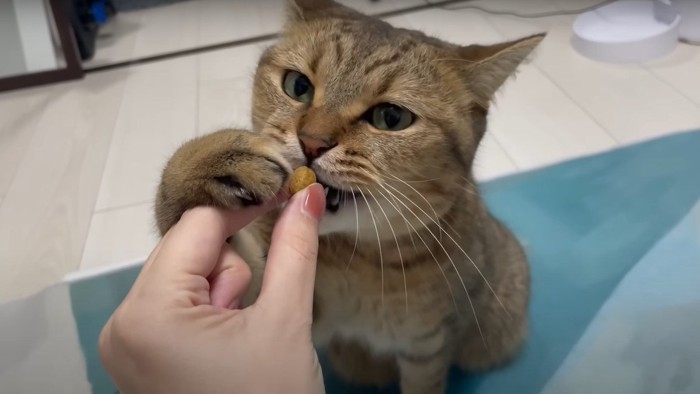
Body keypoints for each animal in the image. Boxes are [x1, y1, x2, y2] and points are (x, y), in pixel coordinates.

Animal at [156, 1, 544, 392]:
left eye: (391, 117)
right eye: (298, 86)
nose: (311, 142)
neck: (356, 256)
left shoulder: (427, 347)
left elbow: (424, 382)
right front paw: (205, 163)